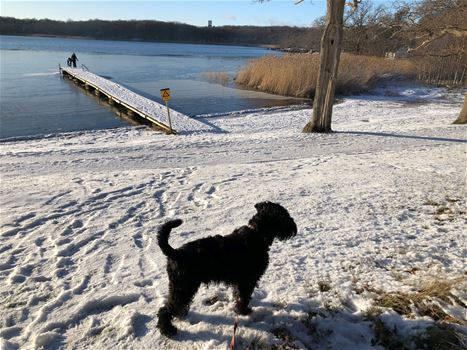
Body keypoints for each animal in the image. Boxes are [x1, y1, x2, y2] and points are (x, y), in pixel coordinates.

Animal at [156, 202, 296, 336]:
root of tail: (175, 253)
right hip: (183, 287)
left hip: (179, 287)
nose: (294, 228)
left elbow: (238, 295)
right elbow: (244, 297)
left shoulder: (240, 281)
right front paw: (244, 311)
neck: (257, 233)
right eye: (284, 215)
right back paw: (168, 330)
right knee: (165, 310)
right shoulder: (247, 281)